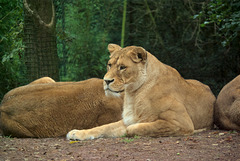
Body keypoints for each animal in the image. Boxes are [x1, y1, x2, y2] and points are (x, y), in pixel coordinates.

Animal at [66, 43, 217, 140]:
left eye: (122, 67)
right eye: (109, 65)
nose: (106, 81)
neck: (132, 94)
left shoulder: (181, 122)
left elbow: (135, 128)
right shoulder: (128, 119)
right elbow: (102, 127)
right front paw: (76, 133)